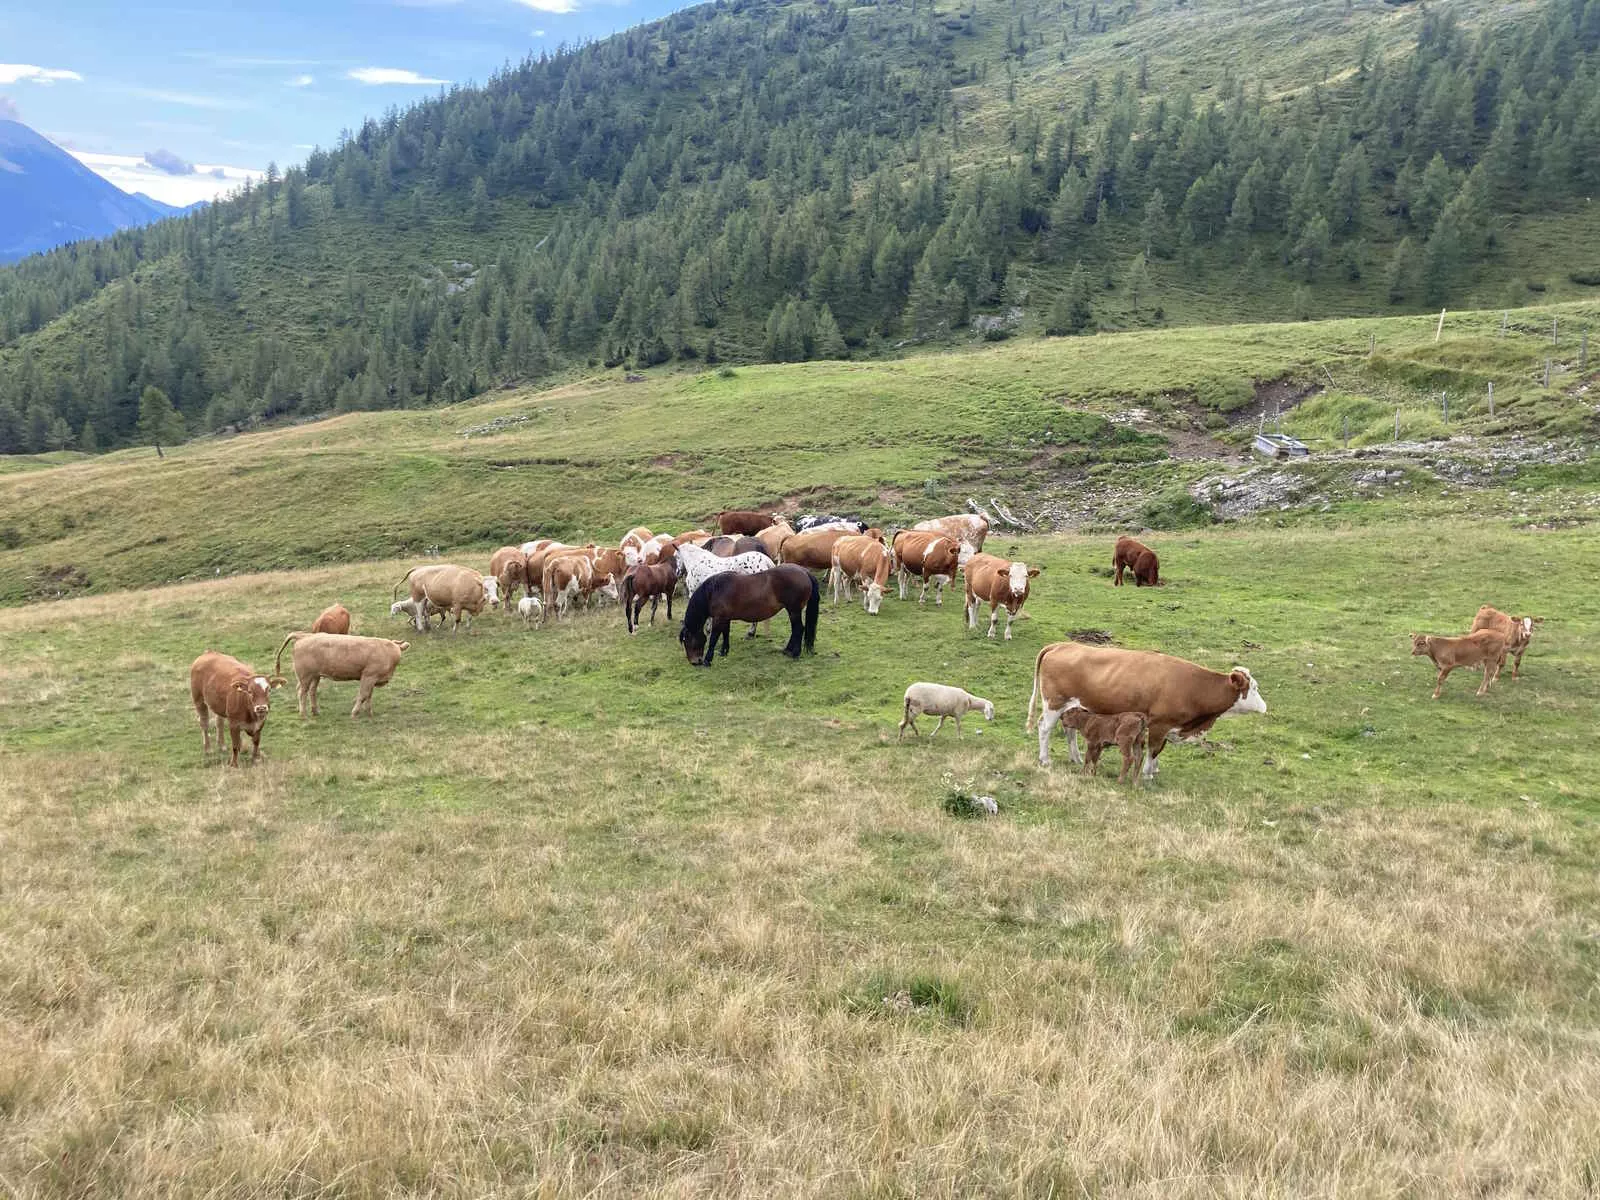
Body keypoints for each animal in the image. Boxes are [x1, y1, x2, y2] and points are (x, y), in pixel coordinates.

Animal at [272, 633, 406, 720]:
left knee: (312, 691)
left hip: (315, 676)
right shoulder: (369, 676)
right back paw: (303, 714)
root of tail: (304, 636)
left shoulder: (372, 679)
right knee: (302, 692)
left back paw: (315, 711)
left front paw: (369, 713)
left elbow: (368, 696)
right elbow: (363, 695)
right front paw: (354, 713)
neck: (387, 651)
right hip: (305, 676)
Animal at [678, 566, 819, 668]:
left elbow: (713, 638)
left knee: (798, 629)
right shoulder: (725, 618)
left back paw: (794, 653)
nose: (694, 662)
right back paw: (788, 650)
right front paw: (724, 652)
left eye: (687, 640)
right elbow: (725, 634)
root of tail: (804, 571)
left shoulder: (718, 619)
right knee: (796, 629)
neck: (714, 591)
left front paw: (708, 660)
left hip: (793, 610)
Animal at [1030, 649, 1267, 780]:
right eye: (1254, 688)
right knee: (1044, 728)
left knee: (1069, 729)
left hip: (1071, 707)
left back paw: (1076, 758)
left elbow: (1159, 750)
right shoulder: (1159, 724)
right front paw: (1147, 773)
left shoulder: (1168, 725)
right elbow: (1153, 749)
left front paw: (1154, 769)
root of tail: (1062, 645)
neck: (1192, 686)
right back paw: (1045, 759)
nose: (1265, 707)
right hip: (1054, 704)